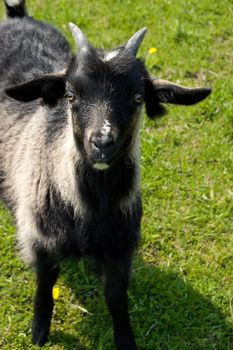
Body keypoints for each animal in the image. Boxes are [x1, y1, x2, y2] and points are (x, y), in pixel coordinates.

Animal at [0, 1, 211, 348]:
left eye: (137, 98)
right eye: (71, 96)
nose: (101, 142)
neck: (90, 208)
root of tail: (18, 17)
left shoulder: (120, 249)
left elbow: (116, 298)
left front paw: (125, 339)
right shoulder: (41, 240)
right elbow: (45, 285)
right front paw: (39, 332)